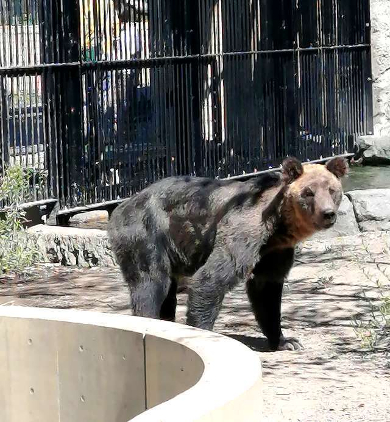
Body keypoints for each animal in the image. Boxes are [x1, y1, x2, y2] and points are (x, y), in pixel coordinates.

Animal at [107, 157, 348, 352]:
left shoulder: (274, 252)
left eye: (332, 190)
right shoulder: (243, 231)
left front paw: (286, 341)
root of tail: (122, 205)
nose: (328, 213)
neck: (277, 226)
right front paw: (203, 332)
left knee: (167, 291)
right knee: (151, 282)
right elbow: (212, 279)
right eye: (309, 192)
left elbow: (267, 292)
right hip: (147, 233)